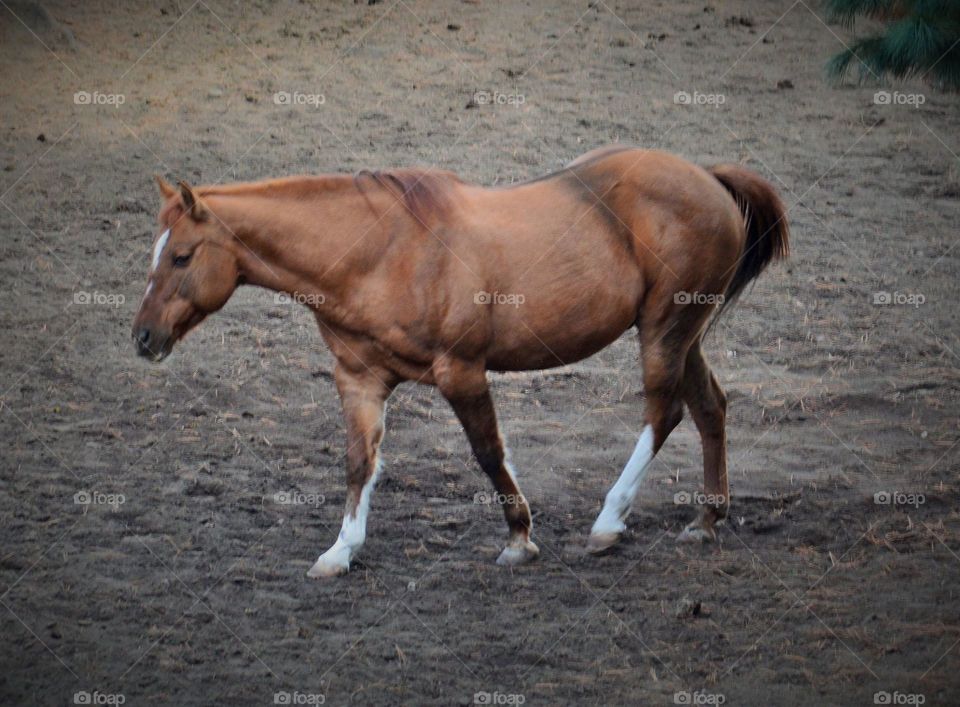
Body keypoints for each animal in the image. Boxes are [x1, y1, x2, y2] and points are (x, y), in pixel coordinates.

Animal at [131, 145, 789, 578]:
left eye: (183, 256)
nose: (143, 337)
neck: (380, 252)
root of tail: (708, 178)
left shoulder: (462, 371)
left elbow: (489, 453)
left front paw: (520, 539)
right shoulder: (359, 380)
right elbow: (358, 462)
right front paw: (341, 550)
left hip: (663, 331)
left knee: (665, 411)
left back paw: (608, 522)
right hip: (683, 334)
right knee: (709, 408)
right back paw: (706, 520)